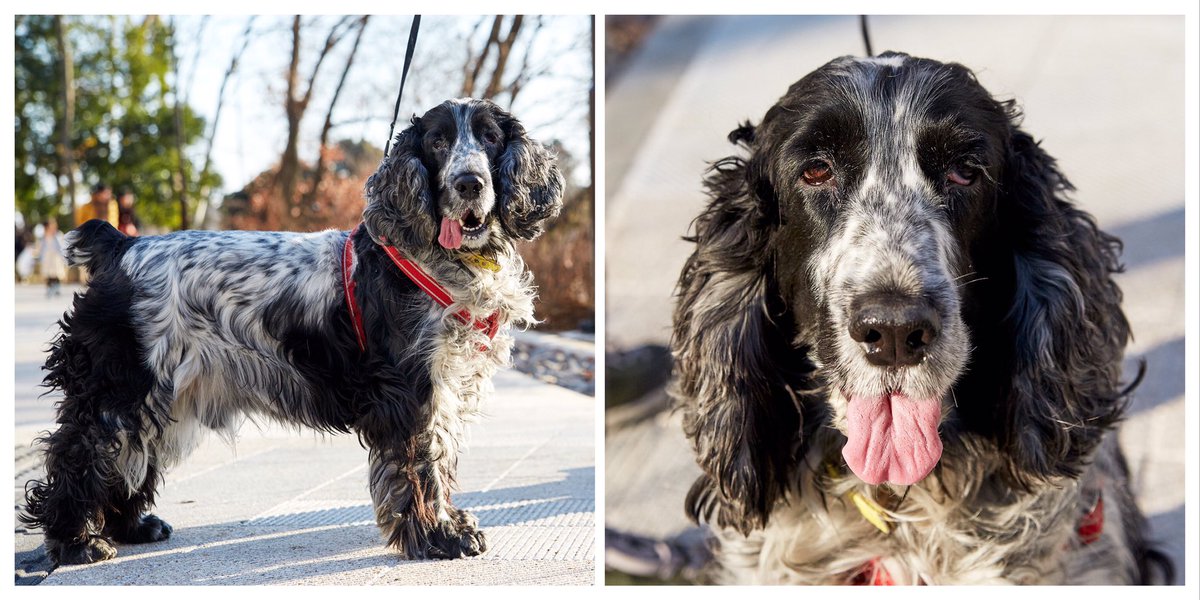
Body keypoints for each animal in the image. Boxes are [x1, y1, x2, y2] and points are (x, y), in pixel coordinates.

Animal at [19, 97, 561, 561]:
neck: (445, 258)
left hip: (166, 394)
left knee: (131, 453)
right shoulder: (412, 390)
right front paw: (437, 536)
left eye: (489, 137)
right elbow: (422, 463)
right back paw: (76, 542)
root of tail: (122, 247)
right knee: (80, 450)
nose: (469, 182)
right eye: (438, 142)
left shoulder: (446, 384)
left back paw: (130, 527)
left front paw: (450, 524)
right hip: (118, 387)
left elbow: (441, 458)